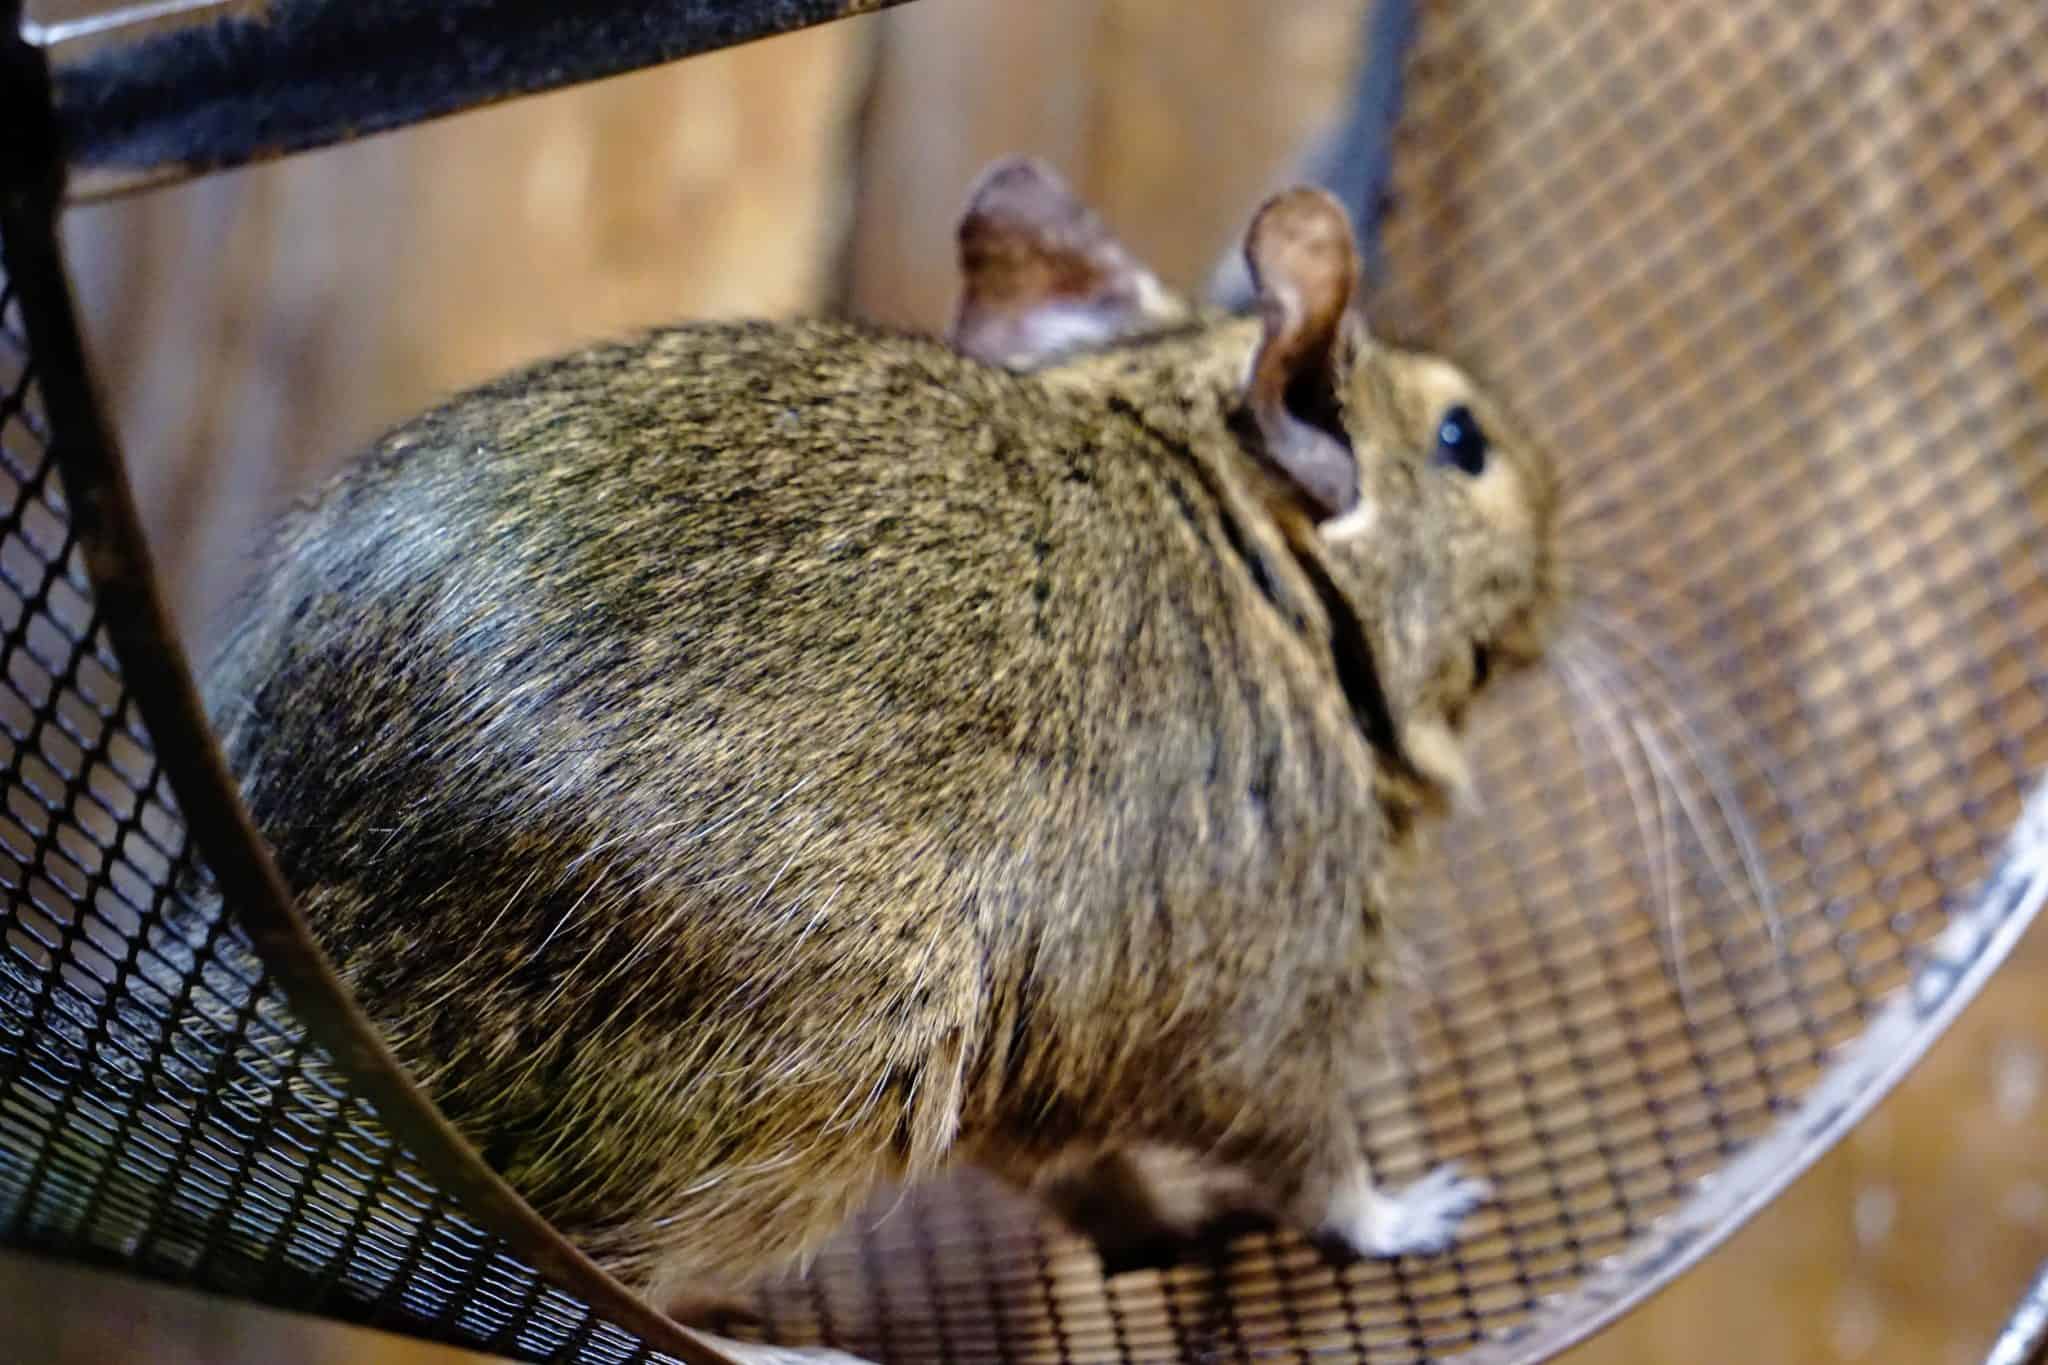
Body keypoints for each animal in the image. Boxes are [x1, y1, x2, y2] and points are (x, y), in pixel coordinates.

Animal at [200, 155, 1562, 1319]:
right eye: (1462, 442)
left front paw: (1167, 1225)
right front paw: (1418, 1209)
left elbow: (1086, 1172)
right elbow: (1312, 1162)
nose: (1562, 545)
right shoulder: (1278, 995)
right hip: (808, 1088)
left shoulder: (1033, 1093)